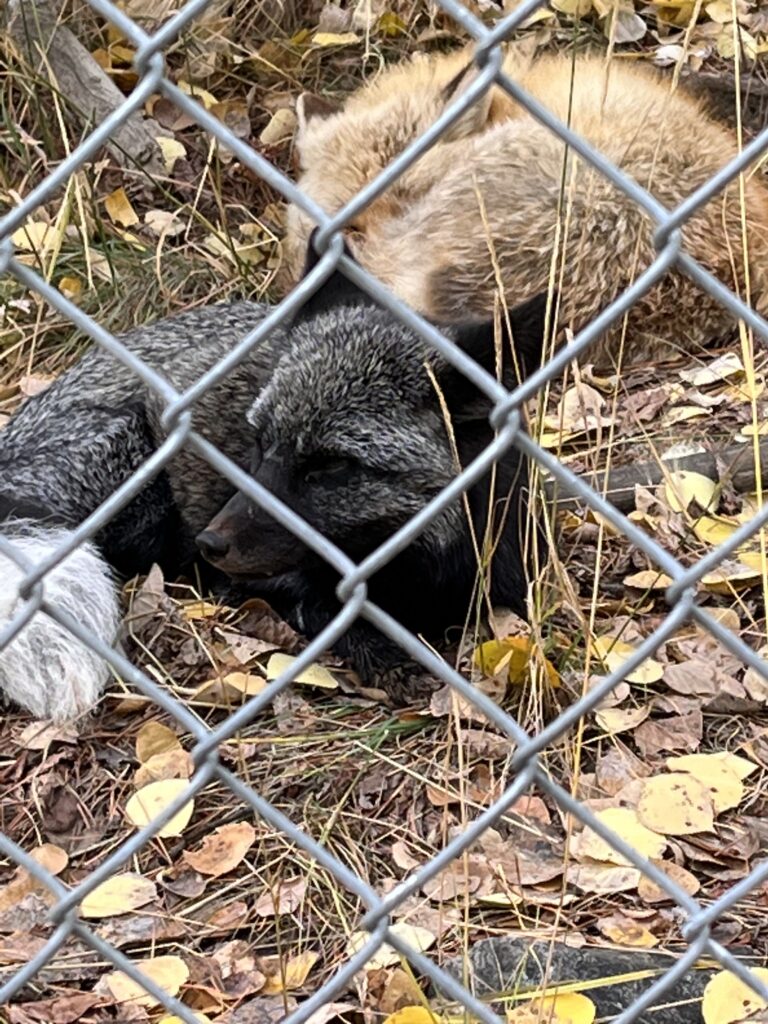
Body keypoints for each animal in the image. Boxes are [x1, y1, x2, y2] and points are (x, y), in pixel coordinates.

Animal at [0, 238, 548, 720]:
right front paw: (382, 655)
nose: (211, 543)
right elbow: (323, 610)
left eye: (329, 465)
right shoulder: (285, 585)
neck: (424, 572)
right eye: (261, 441)